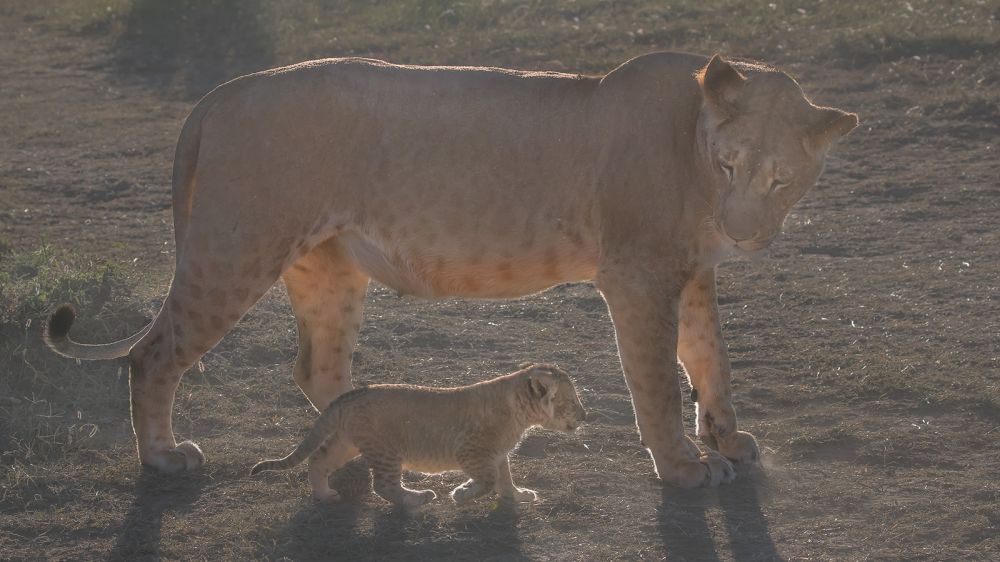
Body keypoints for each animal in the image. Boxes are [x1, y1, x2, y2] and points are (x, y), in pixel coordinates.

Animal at [44, 52, 857, 489]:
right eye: (730, 165)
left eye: (783, 179)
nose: (743, 232)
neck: (692, 145)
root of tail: (220, 94)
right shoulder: (637, 275)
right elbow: (658, 381)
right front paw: (685, 469)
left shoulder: (688, 274)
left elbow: (710, 358)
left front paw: (728, 440)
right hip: (235, 248)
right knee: (153, 356)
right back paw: (165, 459)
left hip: (326, 266)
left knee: (319, 369)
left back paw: (371, 440)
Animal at [251, 363, 585, 506]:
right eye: (571, 401)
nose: (585, 416)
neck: (519, 411)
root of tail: (349, 396)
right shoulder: (471, 451)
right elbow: (489, 480)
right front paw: (462, 493)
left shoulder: (497, 453)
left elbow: (504, 479)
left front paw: (518, 495)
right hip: (386, 450)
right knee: (385, 486)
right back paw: (418, 498)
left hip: (347, 442)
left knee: (318, 459)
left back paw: (323, 494)